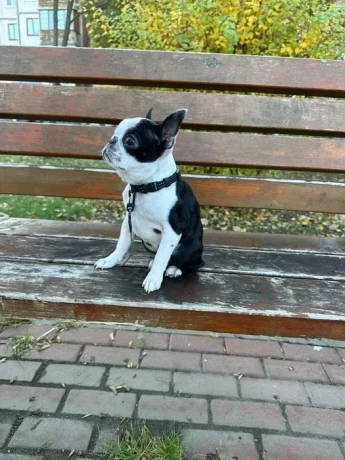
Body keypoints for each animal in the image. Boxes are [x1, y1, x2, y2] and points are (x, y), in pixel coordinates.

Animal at [94, 108, 203, 292]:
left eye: (130, 141)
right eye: (115, 134)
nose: (111, 140)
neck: (144, 187)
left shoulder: (172, 229)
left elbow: (162, 257)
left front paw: (153, 279)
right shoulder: (128, 220)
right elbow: (121, 244)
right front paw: (110, 260)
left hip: (190, 247)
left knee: (192, 263)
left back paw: (174, 269)